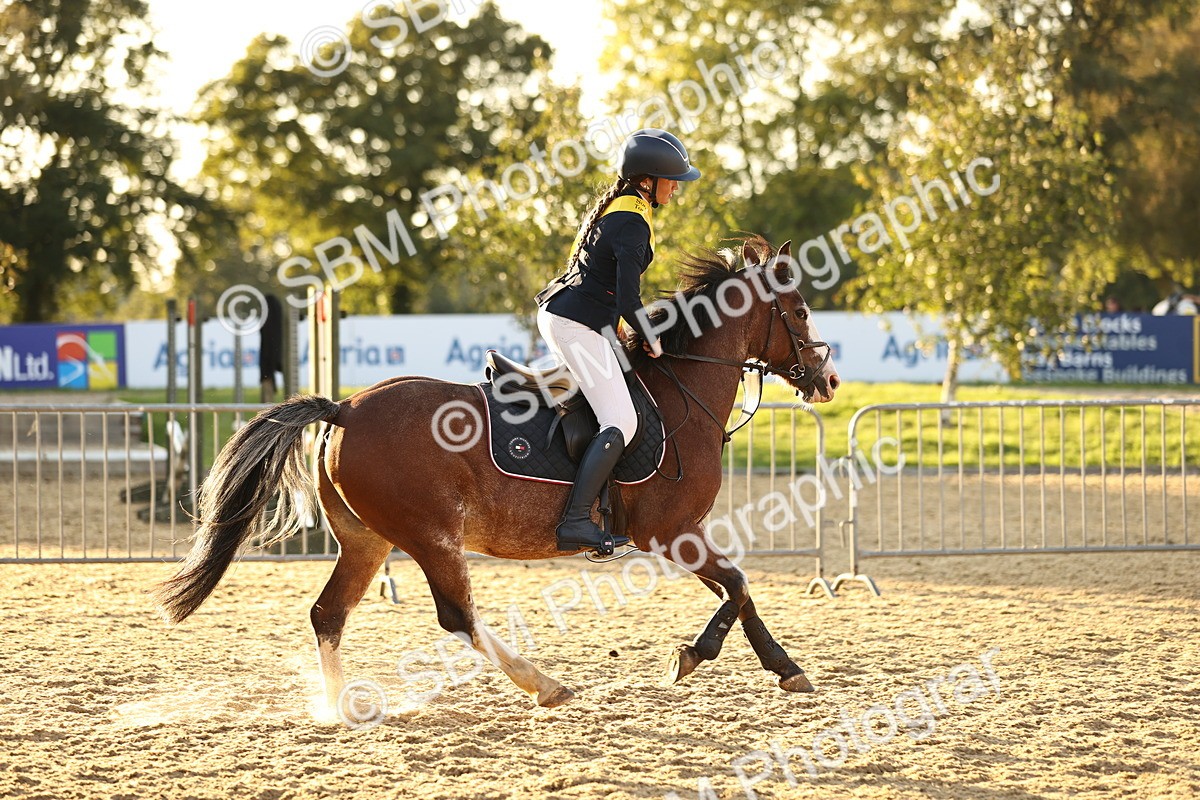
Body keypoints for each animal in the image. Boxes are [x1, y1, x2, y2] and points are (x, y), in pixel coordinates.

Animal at [155, 235, 841, 712]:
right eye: (802, 312)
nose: (829, 380)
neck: (682, 394)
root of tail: (345, 406)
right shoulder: (669, 531)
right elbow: (739, 585)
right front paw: (707, 658)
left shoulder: (680, 532)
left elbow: (738, 590)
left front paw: (770, 665)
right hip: (430, 536)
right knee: (456, 617)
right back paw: (544, 684)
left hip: (367, 540)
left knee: (329, 615)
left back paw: (341, 708)